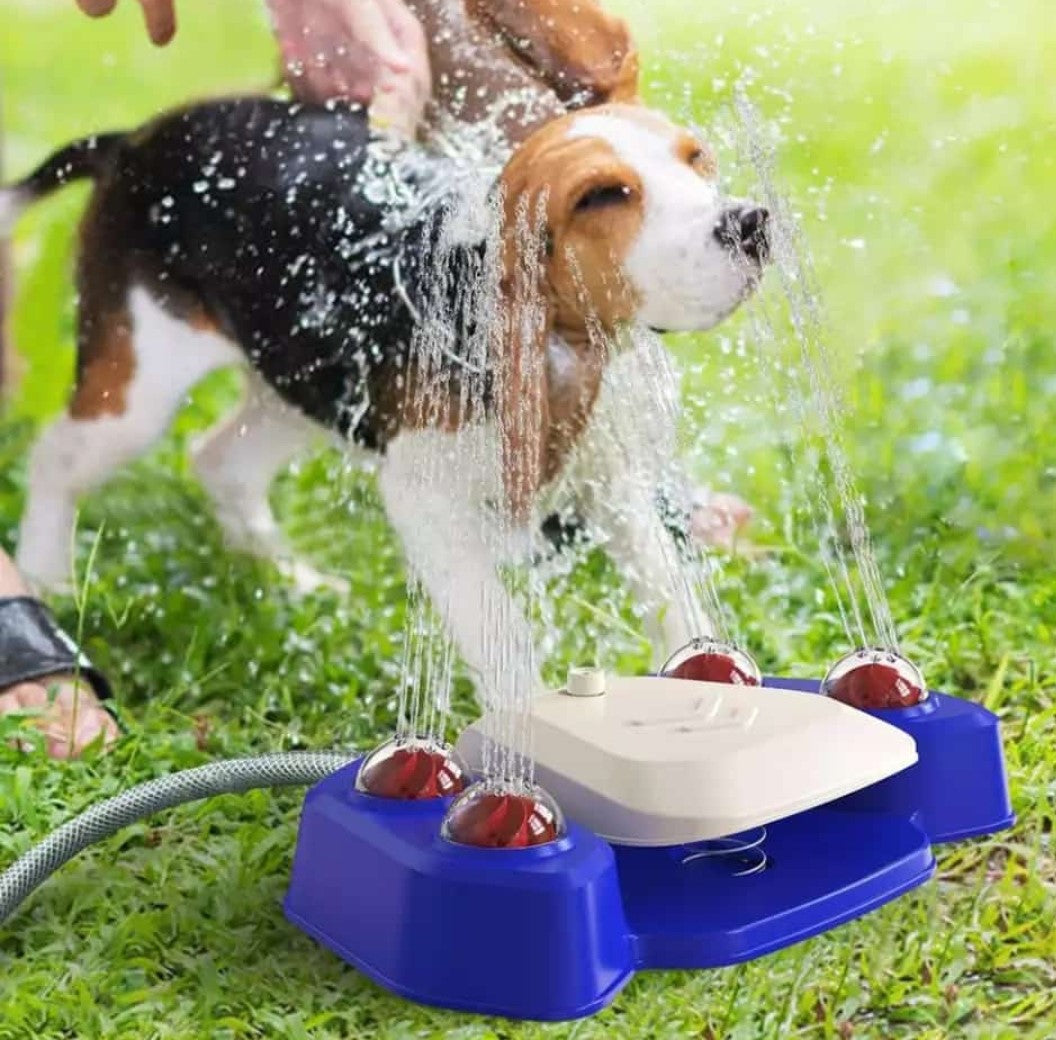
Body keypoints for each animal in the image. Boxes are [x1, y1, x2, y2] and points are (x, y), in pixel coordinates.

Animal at [4, 101, 772, 692]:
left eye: (696, 159)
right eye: (601, 196)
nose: (751, 222)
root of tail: (133, 142)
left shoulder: (614, 484)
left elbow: (670, 590)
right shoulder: (427, 500)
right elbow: (502, 633)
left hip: (300, 378)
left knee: (219, 460)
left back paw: (287, 575)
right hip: (140, 382)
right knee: (56, 457)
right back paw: (48, 578)